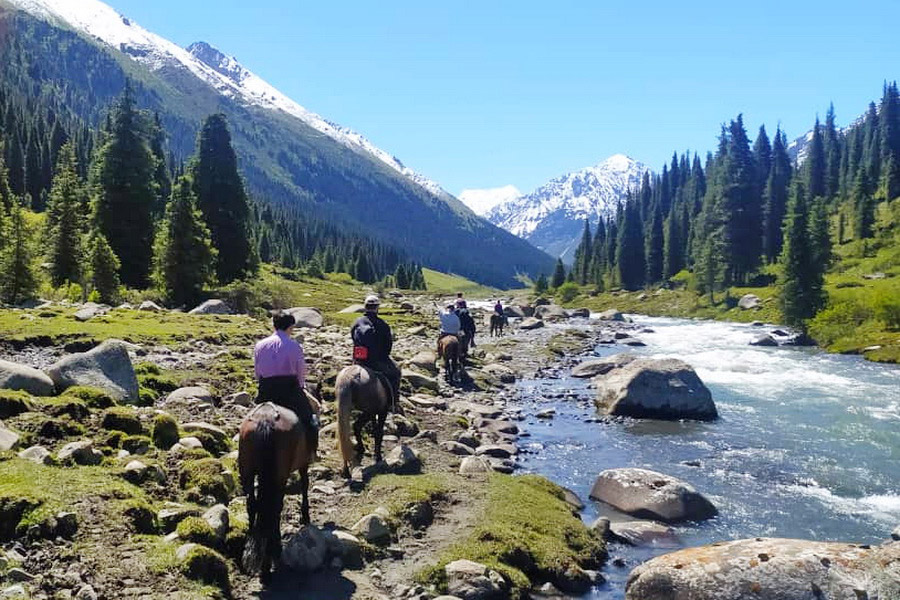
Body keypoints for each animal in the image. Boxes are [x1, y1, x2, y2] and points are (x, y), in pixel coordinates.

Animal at [239, 386, 320, 584]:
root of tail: (266, 420)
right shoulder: (303, 464)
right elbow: (305, 484)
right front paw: (305, 515)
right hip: (279, 475)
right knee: (274, 508)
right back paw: (269, 561)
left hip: (247, 471)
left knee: (253, 506)